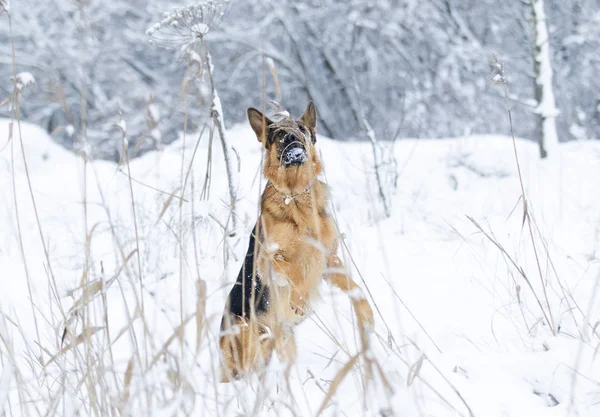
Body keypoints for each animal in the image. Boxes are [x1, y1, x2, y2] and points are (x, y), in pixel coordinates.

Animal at [218, 101, 372, 380]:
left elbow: (354, 287)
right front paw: (298, 301)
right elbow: (294, 270)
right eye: (279, 133)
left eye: (301, 129)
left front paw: (366, 312)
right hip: (249, 350)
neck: (297, 198)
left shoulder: (329, 259)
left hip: (281, 342)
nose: (292, 139)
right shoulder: (268, 259)